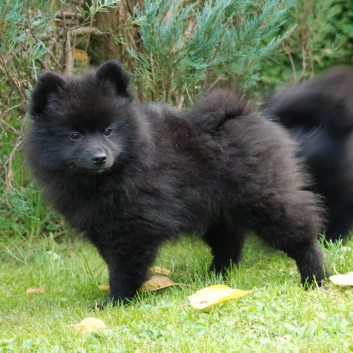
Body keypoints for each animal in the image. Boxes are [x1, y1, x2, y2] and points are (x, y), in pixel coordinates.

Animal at [24, 60, 328, 302]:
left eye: (108, 131)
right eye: (74, 136)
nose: (99, 157)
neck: (109, 177)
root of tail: (240, 113)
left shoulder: (133, 227)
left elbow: (123, 268)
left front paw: (116, 301)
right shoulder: (104, 226)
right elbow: (113, 262)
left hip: (264, 199)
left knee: (300, 237)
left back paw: (315, 278)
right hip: (216, 212)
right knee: (228, 245)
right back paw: (214, 280)